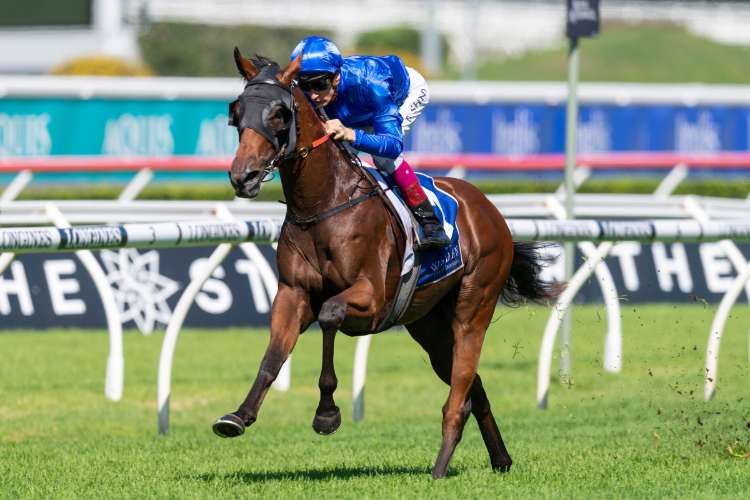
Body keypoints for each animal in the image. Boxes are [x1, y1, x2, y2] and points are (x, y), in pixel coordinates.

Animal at [215, 48, 556, 479]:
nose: (243, 176)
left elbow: (329, 314)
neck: (323, 205)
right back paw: (501, 460)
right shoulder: (292, 293)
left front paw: (326, 414)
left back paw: (440, 467)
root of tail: (488, 208)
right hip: (429, 325)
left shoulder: (372, 299)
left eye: (279, 113)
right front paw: (238, 416)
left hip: (473, 307)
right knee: (472, 390)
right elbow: (272, 356)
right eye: (236, 111)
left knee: (458, 392)